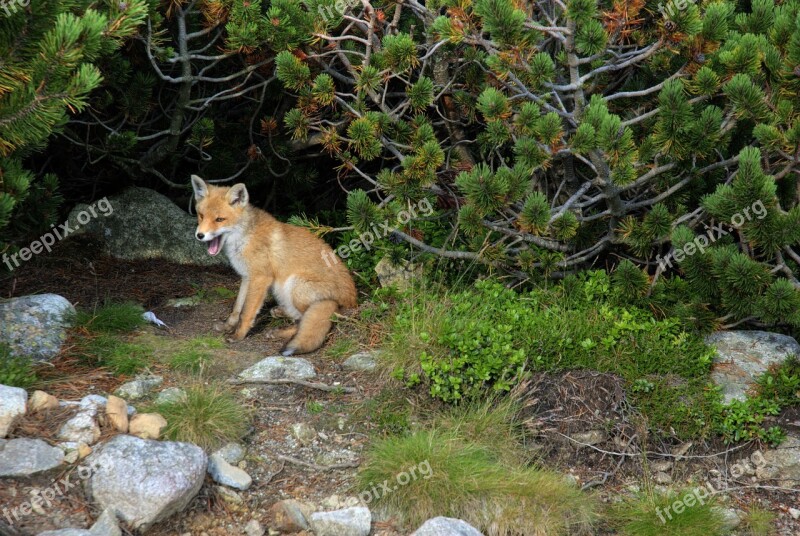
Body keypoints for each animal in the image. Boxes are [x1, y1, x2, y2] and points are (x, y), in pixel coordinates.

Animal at [190, 174, 356, 354]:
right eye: (201, 215)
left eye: (220, 219)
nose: (199, 235)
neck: (245, 237)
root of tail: (352, 302)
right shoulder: (247, 276)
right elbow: (237, 307)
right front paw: (229, 326)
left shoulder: (261, 277)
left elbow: (247, 312)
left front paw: (238, 335)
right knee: (299, 317)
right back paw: (280, 312)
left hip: (295, 284)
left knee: (303, 321)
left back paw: (278, 332)